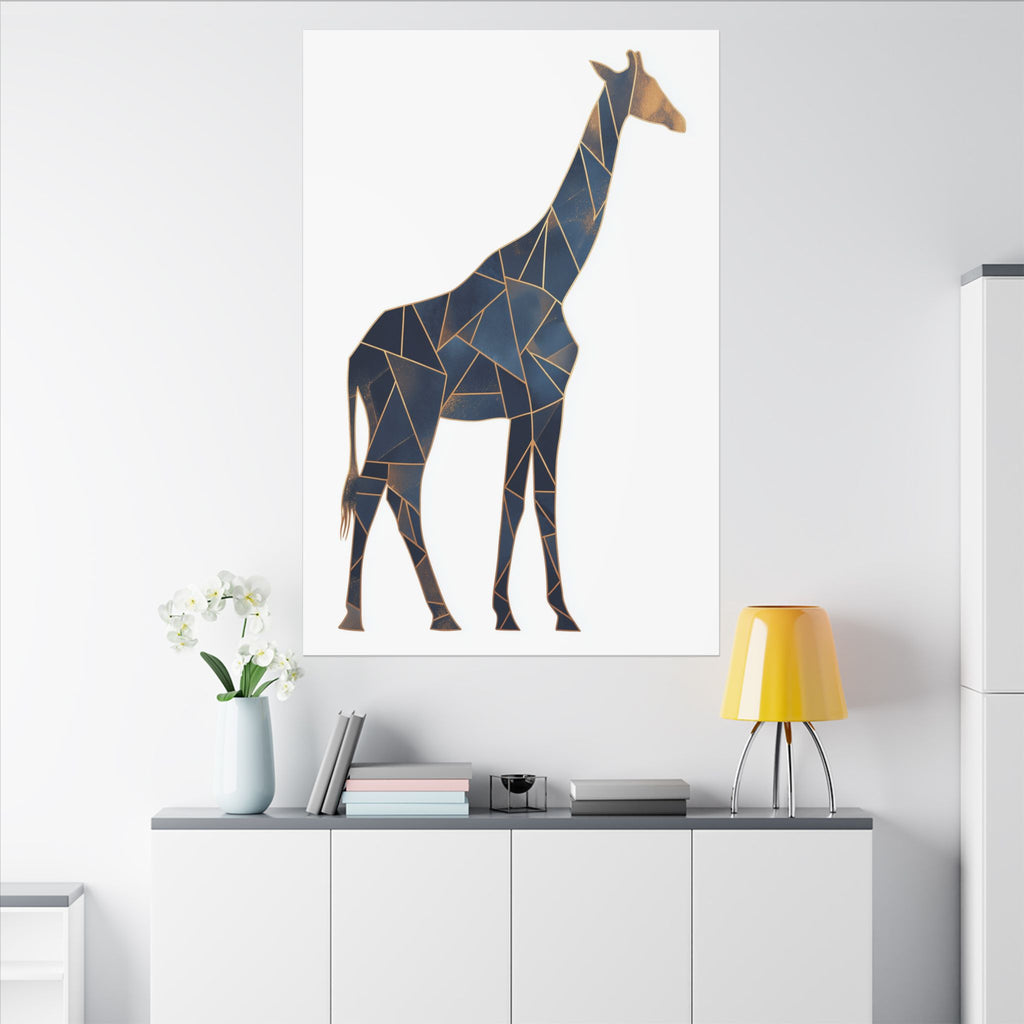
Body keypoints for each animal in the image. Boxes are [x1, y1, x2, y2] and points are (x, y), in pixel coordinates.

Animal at [338, 50, 686, 633]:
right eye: (652, 83)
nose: (680, 120)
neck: (556, 277)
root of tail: (356, 357)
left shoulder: (538, 404)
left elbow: (527, 498)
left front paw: (532, 612)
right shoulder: (539, 397)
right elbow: (528, 499)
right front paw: (531, 615)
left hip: (387, 416)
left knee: (385, 492)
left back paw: (420, 615)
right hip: (413, 415)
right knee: (391, 492)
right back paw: (380, 618)